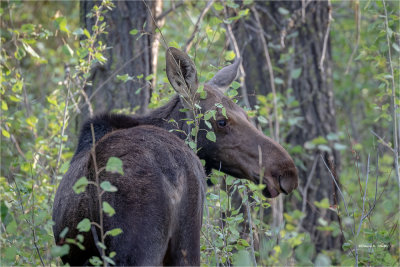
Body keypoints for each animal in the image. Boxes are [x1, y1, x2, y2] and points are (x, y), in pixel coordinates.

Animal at [52, 47, 296, 266]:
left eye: (245, 114)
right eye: (221, 121)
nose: (287, 172)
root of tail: (175, 171)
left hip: (137, 249)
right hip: (186, 242)